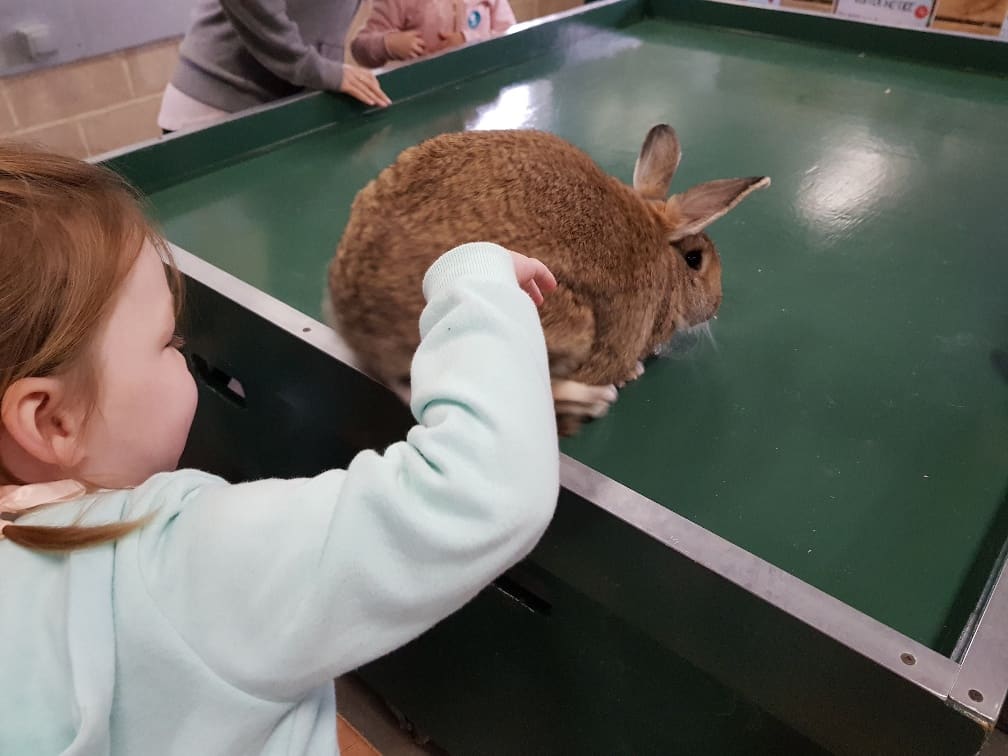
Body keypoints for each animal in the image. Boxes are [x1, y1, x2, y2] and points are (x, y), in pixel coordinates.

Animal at [326, 124, 766, 435]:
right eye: (695, 260)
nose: (715, 306)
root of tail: (360, 321)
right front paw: (631, 373)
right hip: (553, 317)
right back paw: (594, 399)